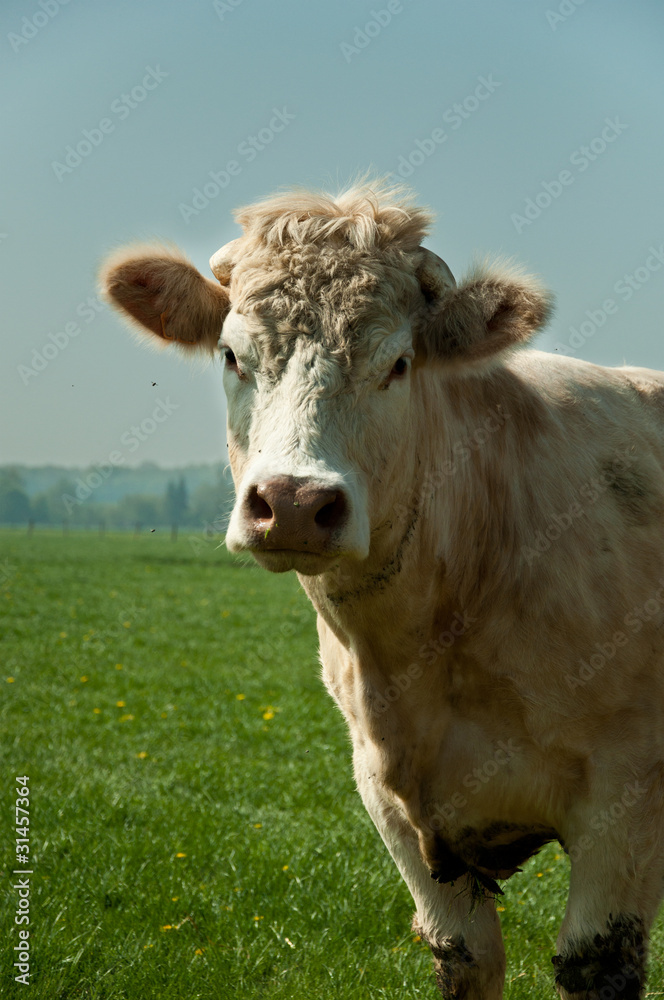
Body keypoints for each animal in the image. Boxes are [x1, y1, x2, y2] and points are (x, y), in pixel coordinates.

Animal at [100, 181, 664, 999]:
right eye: (232, 355)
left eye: (398, 363)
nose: (294, 501)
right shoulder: (392, 805)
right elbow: (466, 955)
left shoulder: (626, 796)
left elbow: (594, 960)